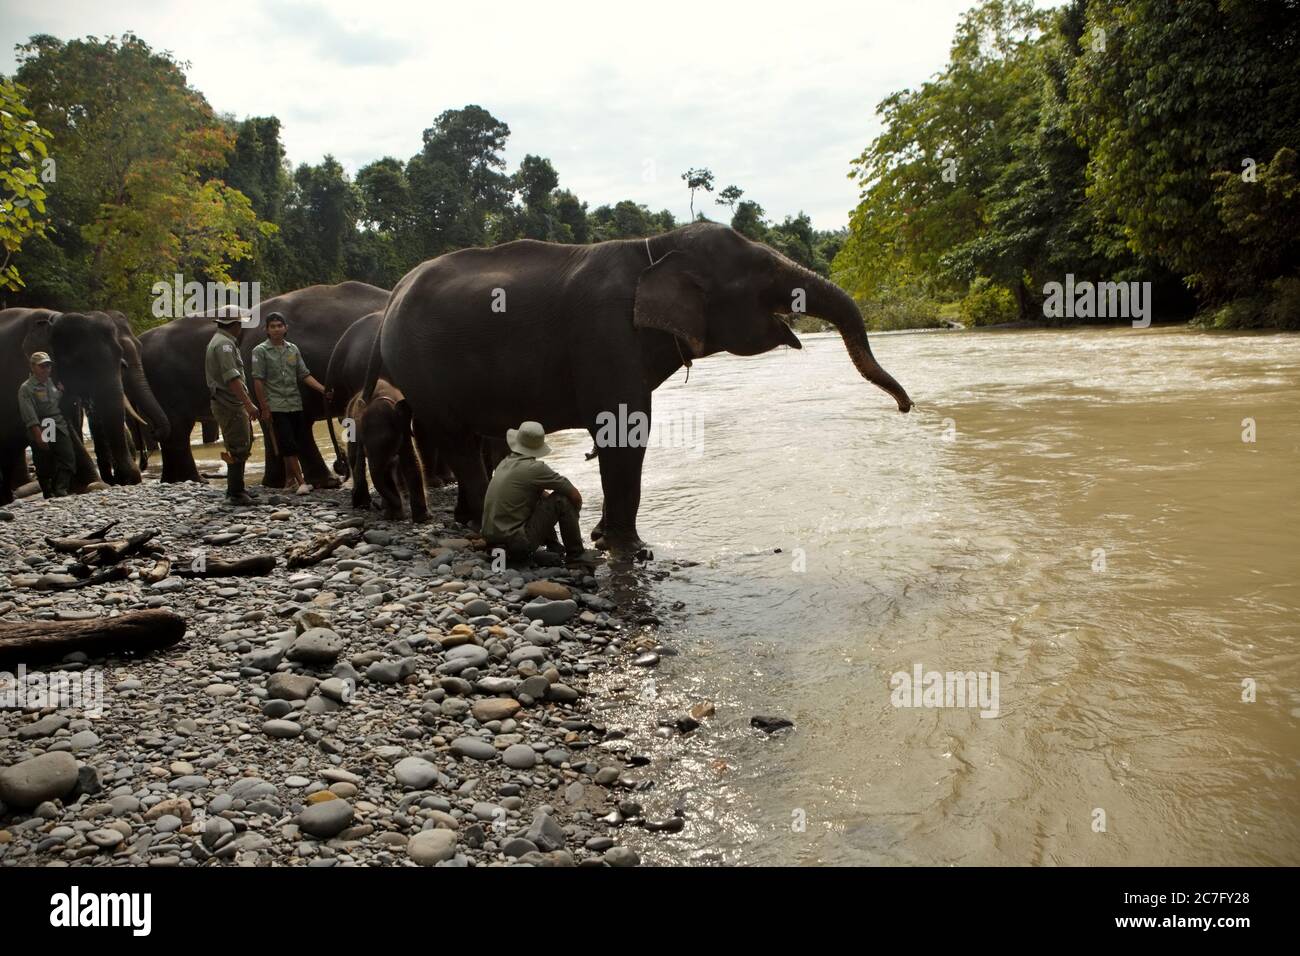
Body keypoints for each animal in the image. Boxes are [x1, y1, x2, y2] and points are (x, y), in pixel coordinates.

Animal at [0, 308, 172, 504]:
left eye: (121, 359)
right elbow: (57, 422)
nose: (124, 478)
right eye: (80, 361)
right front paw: (93, 485)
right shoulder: (20, 375)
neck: (54, 320)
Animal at [343, 377, 428, 520]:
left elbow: (411, 462)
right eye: (364, 443)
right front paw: (394, 515)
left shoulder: (405, 431)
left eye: (389, 441)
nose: (375, 505)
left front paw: (422, 519)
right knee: (354, 458)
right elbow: (385, 472)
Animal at [366, 222, 915, 554]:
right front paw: (630, 548)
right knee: (457, 441)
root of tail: (390, 298)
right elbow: (625, 432)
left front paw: (605, 537)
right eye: (763, 272)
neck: (655, 247)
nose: (906, 407)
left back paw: (463, 520)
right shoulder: (607, 337)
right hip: (423, 373)